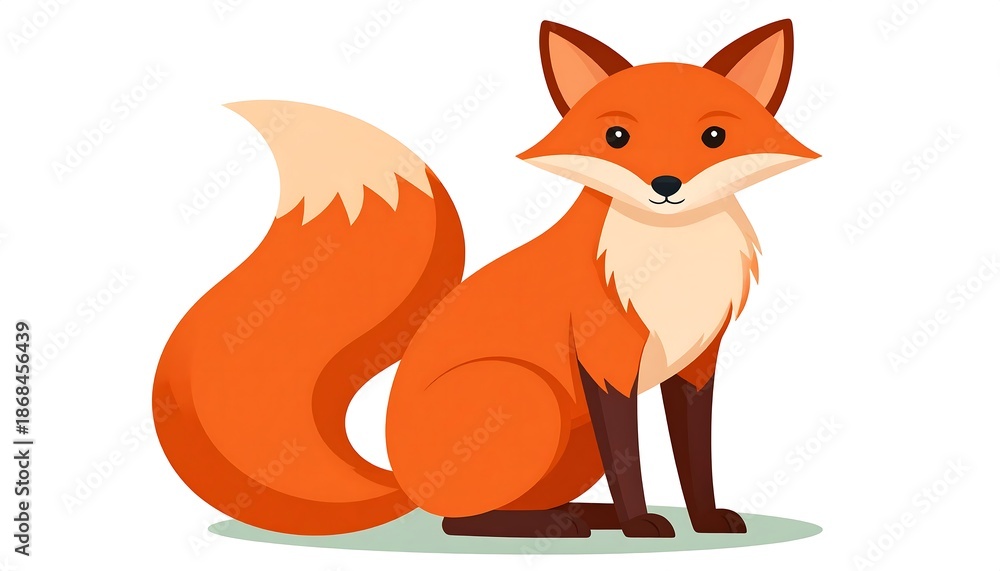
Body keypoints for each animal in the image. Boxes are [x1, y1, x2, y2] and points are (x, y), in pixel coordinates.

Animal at [153, 19, 817, 538]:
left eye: (714, 136)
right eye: (617, 136)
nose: (666, 185)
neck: (671, 260)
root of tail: (401, 479)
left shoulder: (695, 363)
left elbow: (695, 459)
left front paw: (703, 520)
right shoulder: (604, 361)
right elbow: (629, 459)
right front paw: (641, 524)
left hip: (567, 439)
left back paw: (579, 515)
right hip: (528, 394)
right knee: (457, 520)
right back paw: (562, 526)